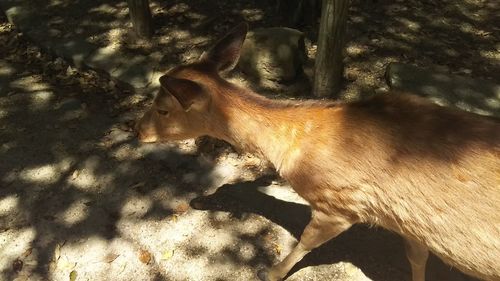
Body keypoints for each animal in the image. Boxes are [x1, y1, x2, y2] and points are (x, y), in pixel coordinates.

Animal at [134, 23, 500, 278]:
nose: (137, 130)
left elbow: (305, 243)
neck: (294, 153)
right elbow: (417, 258)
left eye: (163, 109)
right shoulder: (411, 223)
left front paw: (271, 271)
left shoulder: (339, 205)